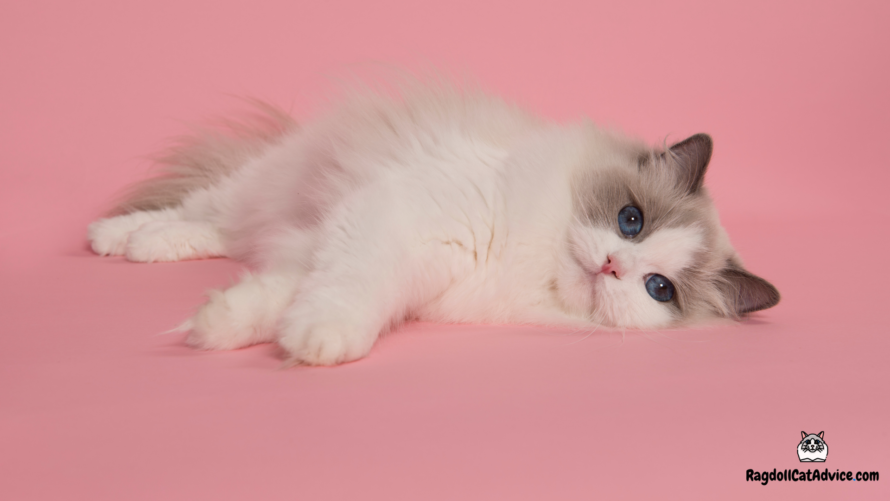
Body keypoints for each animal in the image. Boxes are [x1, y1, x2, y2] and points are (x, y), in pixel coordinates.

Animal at [85, 80, 776, 366]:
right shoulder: (390, 220)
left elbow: (285, 297)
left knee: (225, 232)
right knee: (199, 211)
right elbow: (349, 290)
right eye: (631, 220)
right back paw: (117, 238)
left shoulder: (366, 253)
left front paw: (233, 329)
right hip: (264, 183)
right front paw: (319, 341)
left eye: (658, 289)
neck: (522, 258)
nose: (612, 265)